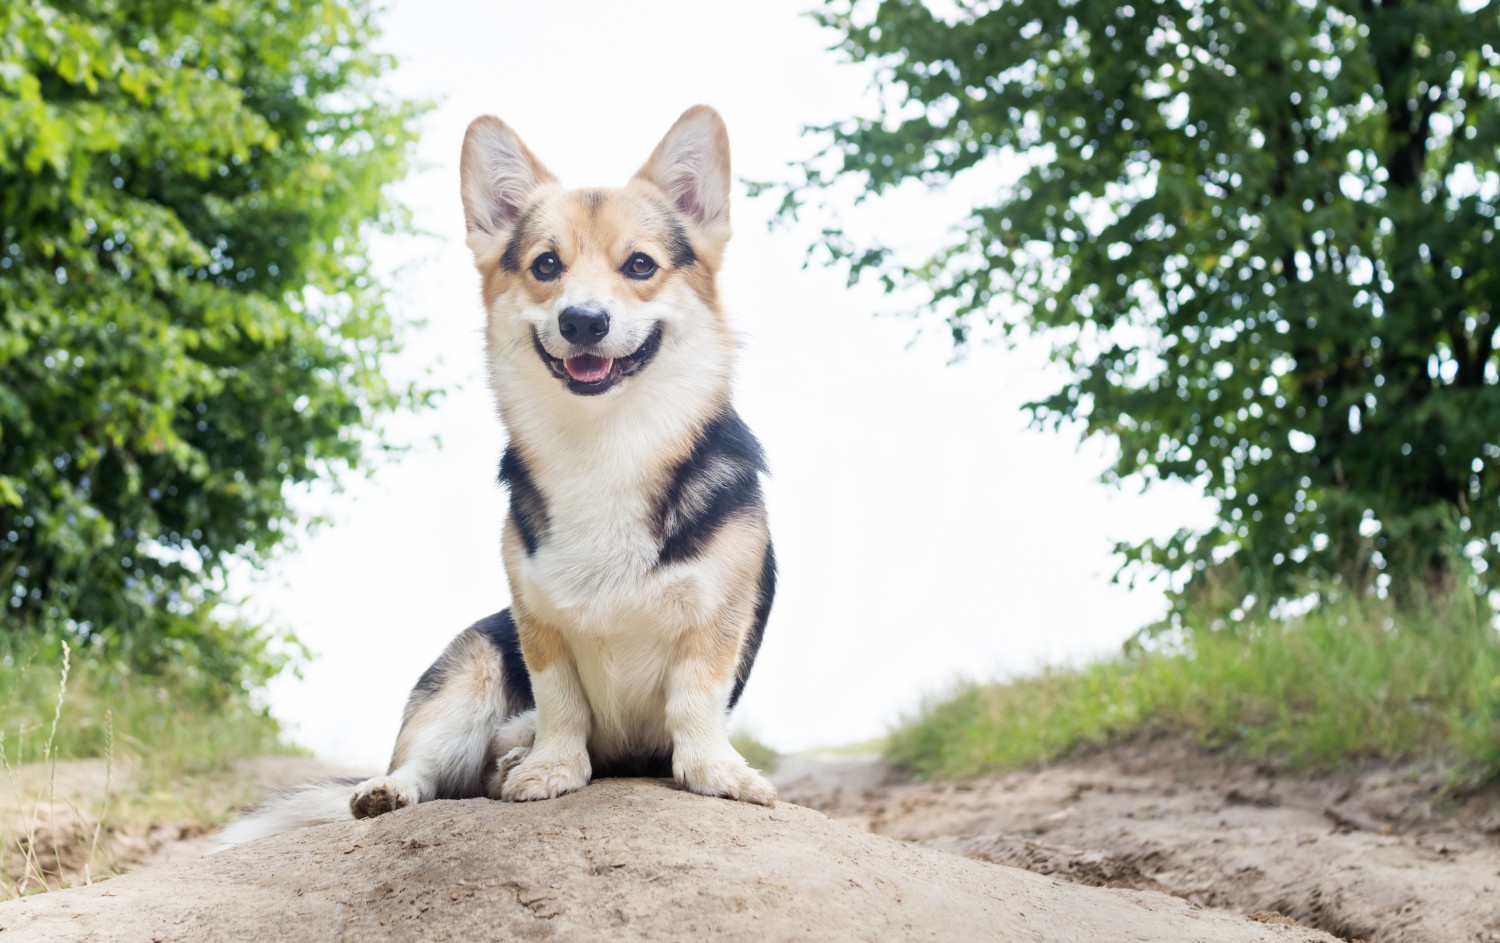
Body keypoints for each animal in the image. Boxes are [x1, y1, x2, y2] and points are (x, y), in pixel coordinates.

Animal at [223, 104, 786, 845]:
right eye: (547, 264)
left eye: (640, 264)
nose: (583, 320)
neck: (604, 442)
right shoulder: (536, 625)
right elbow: (562, 703)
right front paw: (550, 768)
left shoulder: (717, 618)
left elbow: (695, 700)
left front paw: (716, 771)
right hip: (468, 678)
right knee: (430, 765)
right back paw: (403, 786)